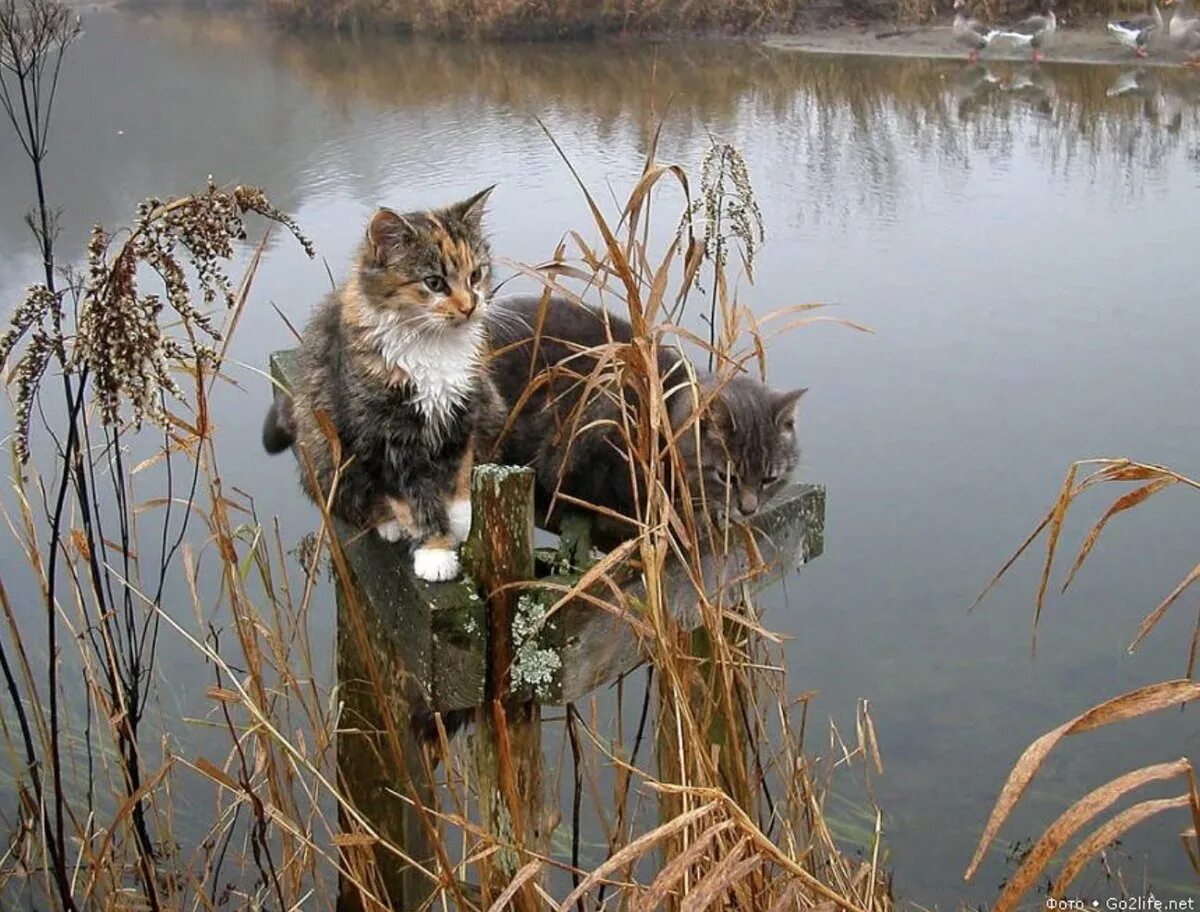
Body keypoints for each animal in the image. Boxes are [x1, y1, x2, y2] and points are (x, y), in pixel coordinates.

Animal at [262, 188, 501, 580]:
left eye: (476, 274)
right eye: (434, 283)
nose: (470, 307)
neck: (432, 347)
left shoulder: (462, 413)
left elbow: (458, 473)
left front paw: (461, 520)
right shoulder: (381, 434)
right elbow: (414, 496)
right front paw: (435, 548)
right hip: (324, 453)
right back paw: (389, 524)